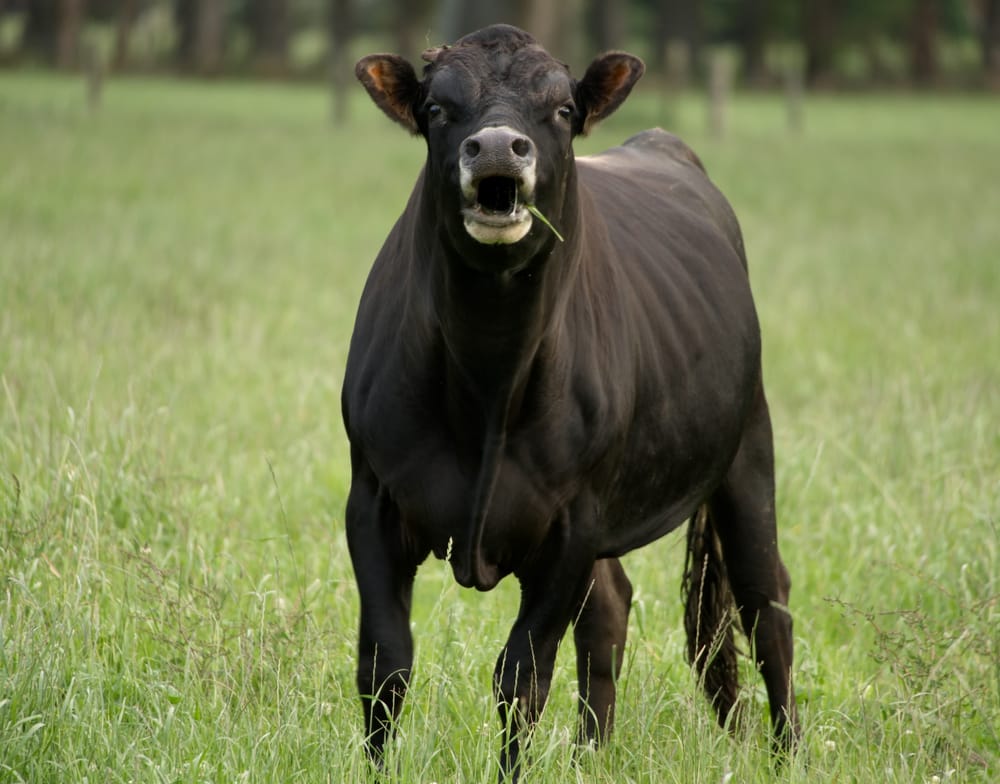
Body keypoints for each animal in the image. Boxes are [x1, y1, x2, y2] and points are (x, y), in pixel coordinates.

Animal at [343, 24, 799, 780]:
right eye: (437, 109)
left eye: (561, 108)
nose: (498, 147)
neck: (488, 383)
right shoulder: (371, 499)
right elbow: (384, 667)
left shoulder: (572, 522)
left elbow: (522, 676)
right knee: (613, 608)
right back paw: (592, 754)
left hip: (748, 453)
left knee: (767, 607)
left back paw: (788, 755)